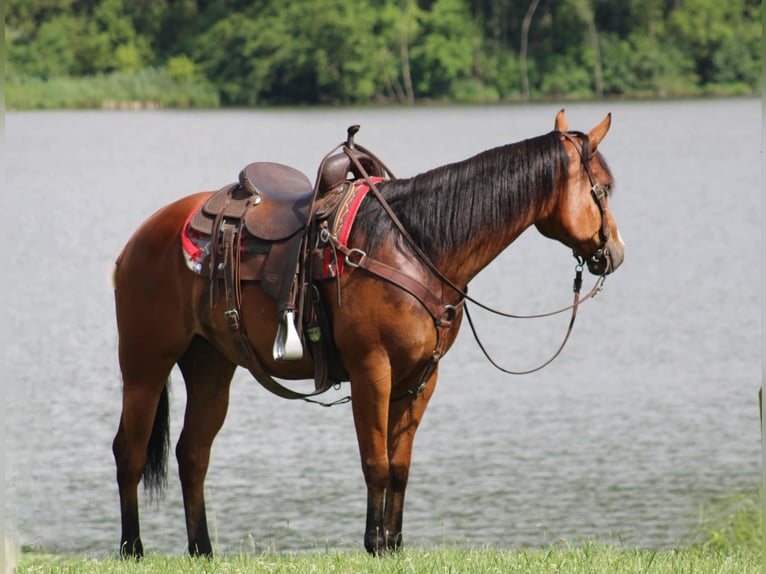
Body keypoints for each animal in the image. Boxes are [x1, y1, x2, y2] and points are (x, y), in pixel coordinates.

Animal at [111, 109, 624, 557]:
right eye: (605, 188)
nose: (615, 253)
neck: (413, 246)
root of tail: (140, 237)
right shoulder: (371, 370)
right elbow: (375, 463)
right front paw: (375, 543)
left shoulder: (420, 378)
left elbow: (399, 466)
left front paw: (394, 543)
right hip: (144, 365)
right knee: (129, 452)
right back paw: (132, 547)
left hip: (211, 366)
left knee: (192, 454)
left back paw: (201, 549)